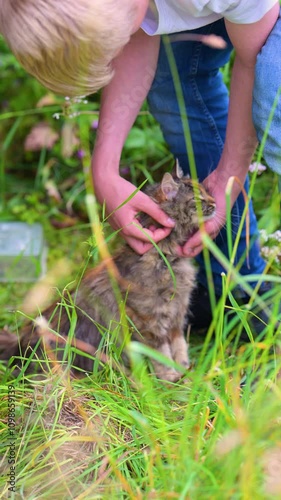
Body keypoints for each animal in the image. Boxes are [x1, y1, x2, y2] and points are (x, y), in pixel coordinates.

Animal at [0, 165, 214, 382]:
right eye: (197, 199)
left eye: (207, 192)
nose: (214, 203)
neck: (168, 260)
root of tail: (19, 343)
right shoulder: (149, 321)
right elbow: (161, 354)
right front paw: (170, 378)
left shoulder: (177, 315)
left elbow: (180, 348)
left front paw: (187, 374)